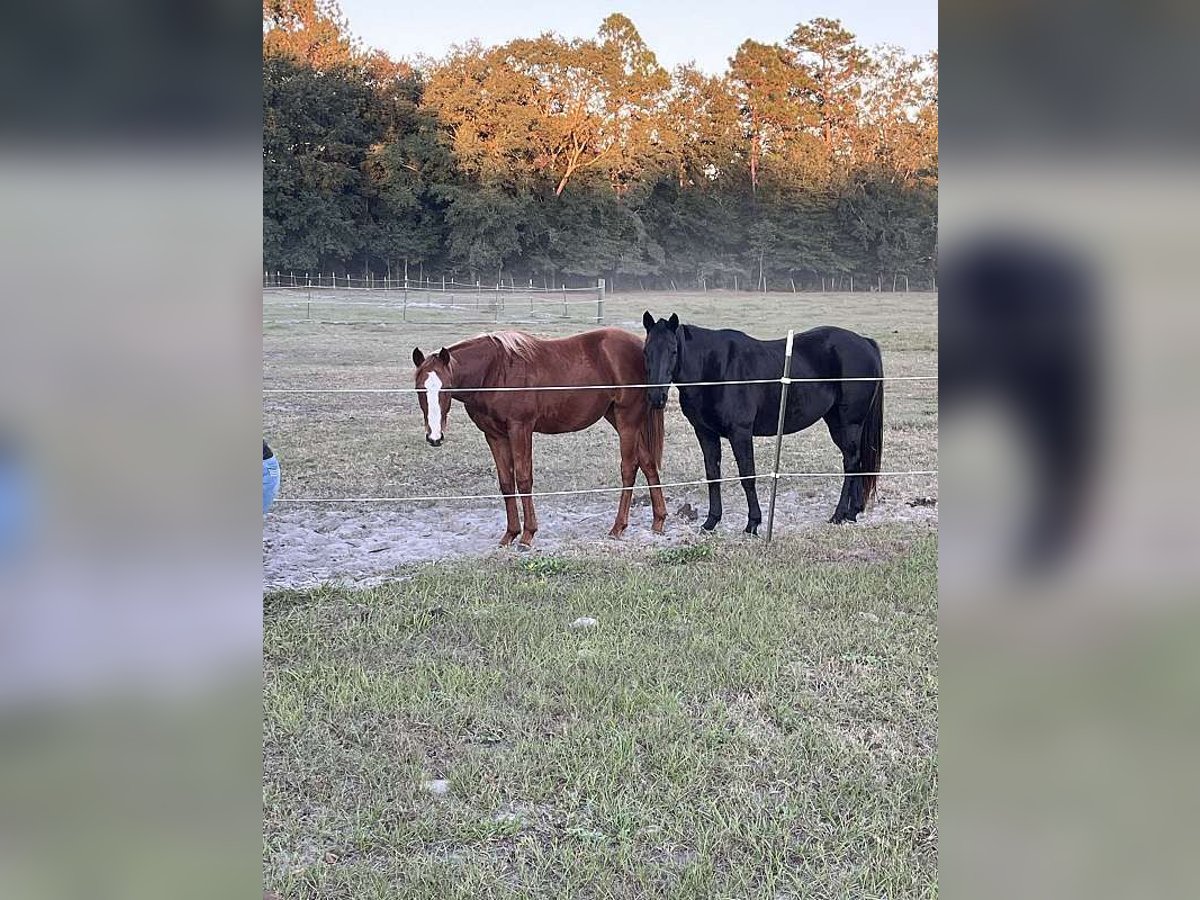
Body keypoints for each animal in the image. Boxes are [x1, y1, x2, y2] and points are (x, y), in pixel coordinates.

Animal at [411, 329, 667, 548]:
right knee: (647, 462)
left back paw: (618, 527)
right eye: (419, 388)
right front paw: (510, 534)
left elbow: (524, 479)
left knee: (629, 468)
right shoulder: (494, 435)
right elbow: (506, 482)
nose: (435, 436)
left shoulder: (520, 428)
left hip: (627, 420)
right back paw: (658, 521)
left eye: (446, 388)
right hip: (617, 417)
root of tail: (639, 346)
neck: (495, 371)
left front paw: (527, 535)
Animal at [641, 312, 884, 532]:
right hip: (840, 423)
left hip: (848, 424)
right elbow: (713, 475)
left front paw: (752, 523)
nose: (656, 397)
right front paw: (711, 521)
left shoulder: (740, 433)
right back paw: (853, 512)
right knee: (856, 462)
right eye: (646, 351)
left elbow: (747, 476)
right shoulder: (705, 433)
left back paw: (839, 514)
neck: (714, 369)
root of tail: (865, 343)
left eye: (673, 351)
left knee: (851, 463)